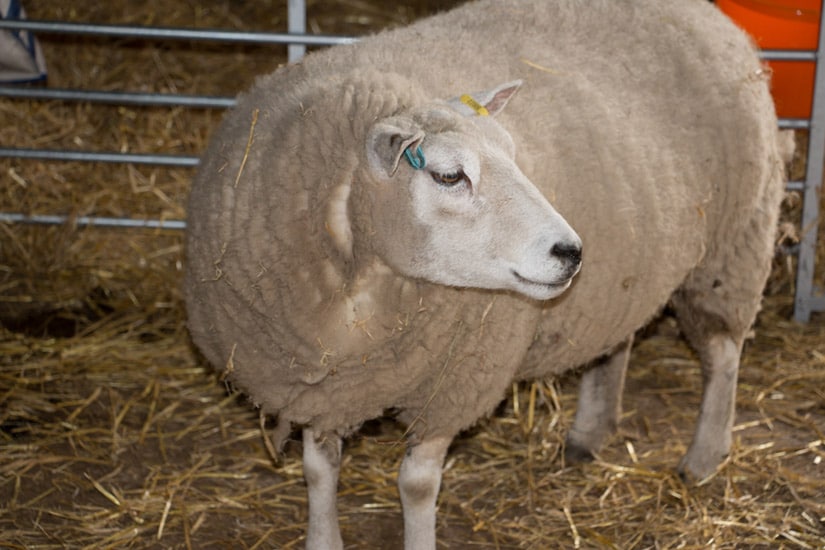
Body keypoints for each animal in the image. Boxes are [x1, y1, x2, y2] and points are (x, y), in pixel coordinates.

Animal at [184, 0, 787, 548]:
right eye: (450, 176)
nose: (572, 252)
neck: (359, 288)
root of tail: (714, 16)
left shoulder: (453, 383)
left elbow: (416, 485)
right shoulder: (320, 383)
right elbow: (318, 470)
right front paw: (322, 539)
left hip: (733, 247)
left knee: (723, 354)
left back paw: (704, 457)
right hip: (636, 262)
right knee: (618, 337)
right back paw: (590, 431)